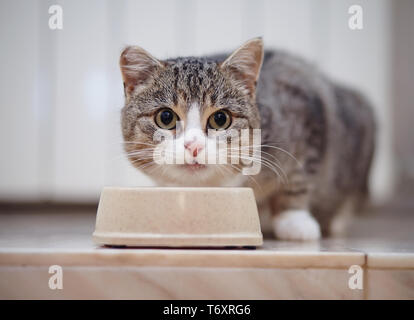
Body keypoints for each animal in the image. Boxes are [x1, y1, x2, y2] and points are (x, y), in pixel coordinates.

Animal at [119, 38, 376, 240]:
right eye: (165, 117)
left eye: (220, 119)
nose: (194, 146)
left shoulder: (308, 111)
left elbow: (298, 176)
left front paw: (293, 219)